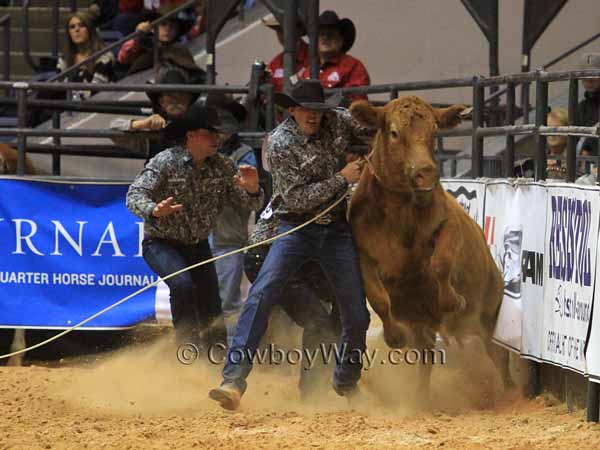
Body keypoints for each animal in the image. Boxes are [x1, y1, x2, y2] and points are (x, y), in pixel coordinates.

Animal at [350, 96, 508, 404]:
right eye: (394, 132)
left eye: (435, 131)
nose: (425, 174)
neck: (399, 213)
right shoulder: (361, 252)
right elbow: (378, 298)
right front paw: (394, 337)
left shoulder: (448, 225)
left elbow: (441, 263)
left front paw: (454, 301)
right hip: (422, 326)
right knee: (426, 356)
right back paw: (421, 396)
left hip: (488, 314)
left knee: (494, 353)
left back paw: (510, 392)